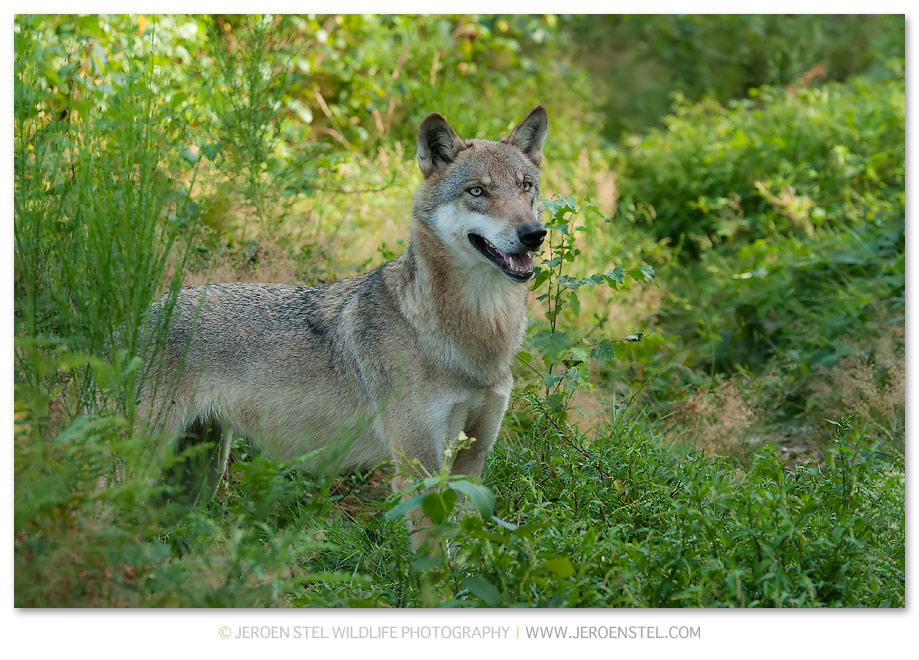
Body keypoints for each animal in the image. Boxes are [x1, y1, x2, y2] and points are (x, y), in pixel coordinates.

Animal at [139, 106, 548, 540]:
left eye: (526, 187)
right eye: (477, 192)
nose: (534, 233)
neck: (475, 335)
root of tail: (140, 313)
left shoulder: (470, 468)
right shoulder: (419, 474)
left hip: (199, 478)